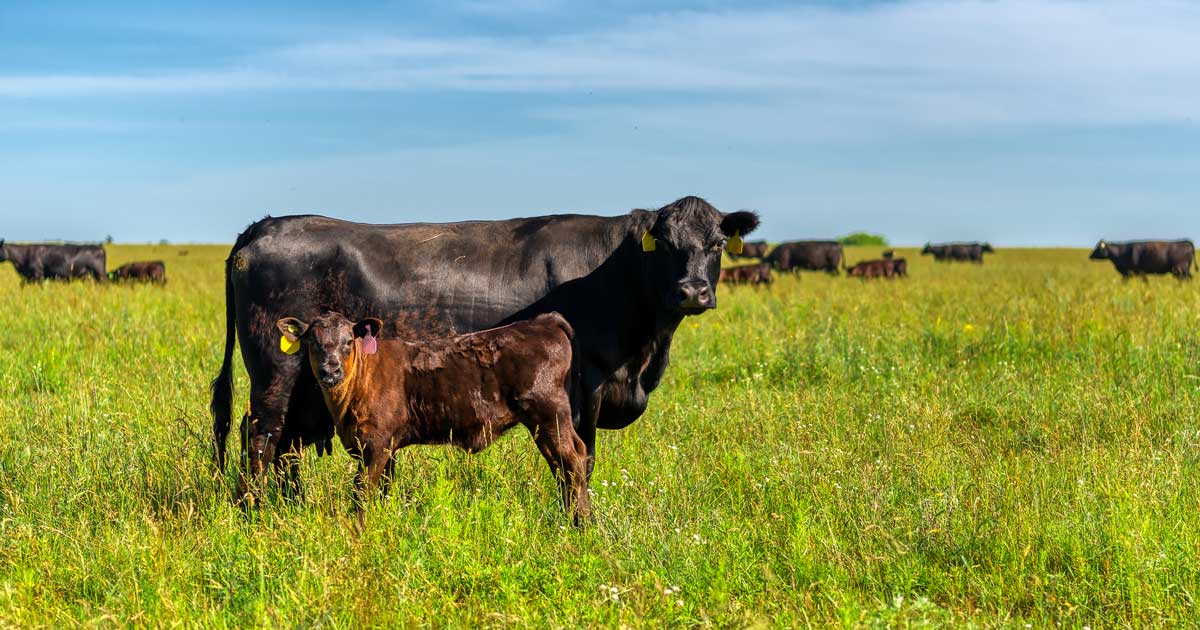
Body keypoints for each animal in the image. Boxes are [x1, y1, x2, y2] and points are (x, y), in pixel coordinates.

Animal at [212, 194, 758, 499]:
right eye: (664, 244)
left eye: (717, 244)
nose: (692, 291)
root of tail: (266, 225)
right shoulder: (587, 388)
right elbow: (582, 459)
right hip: (278, 374)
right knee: (260, 438)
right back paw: (258, 514)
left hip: (303, 387)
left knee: (285, 447)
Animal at [273, 309, 590, 525]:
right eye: (312, 341)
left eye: (348, 341)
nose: (331, 370)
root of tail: (543, 322)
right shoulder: (384, 447)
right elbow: (383, 489)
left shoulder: (375, 444)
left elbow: (361, 491)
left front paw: (359, 529)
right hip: (545, 422)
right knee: (564, 462)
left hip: (548, 412)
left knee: (571, 460)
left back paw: (581, 524)